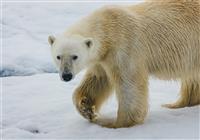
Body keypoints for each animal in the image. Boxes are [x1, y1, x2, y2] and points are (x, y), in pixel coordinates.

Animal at [48, 0, 200, 128]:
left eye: (75, 57)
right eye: (58, 56)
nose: (66, 75)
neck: (107, 27)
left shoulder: (125, 47)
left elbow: (129, 85)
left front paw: (116, 123)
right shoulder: (102, 58)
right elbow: (98, 80)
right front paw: (86, 108)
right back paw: (178, 104)